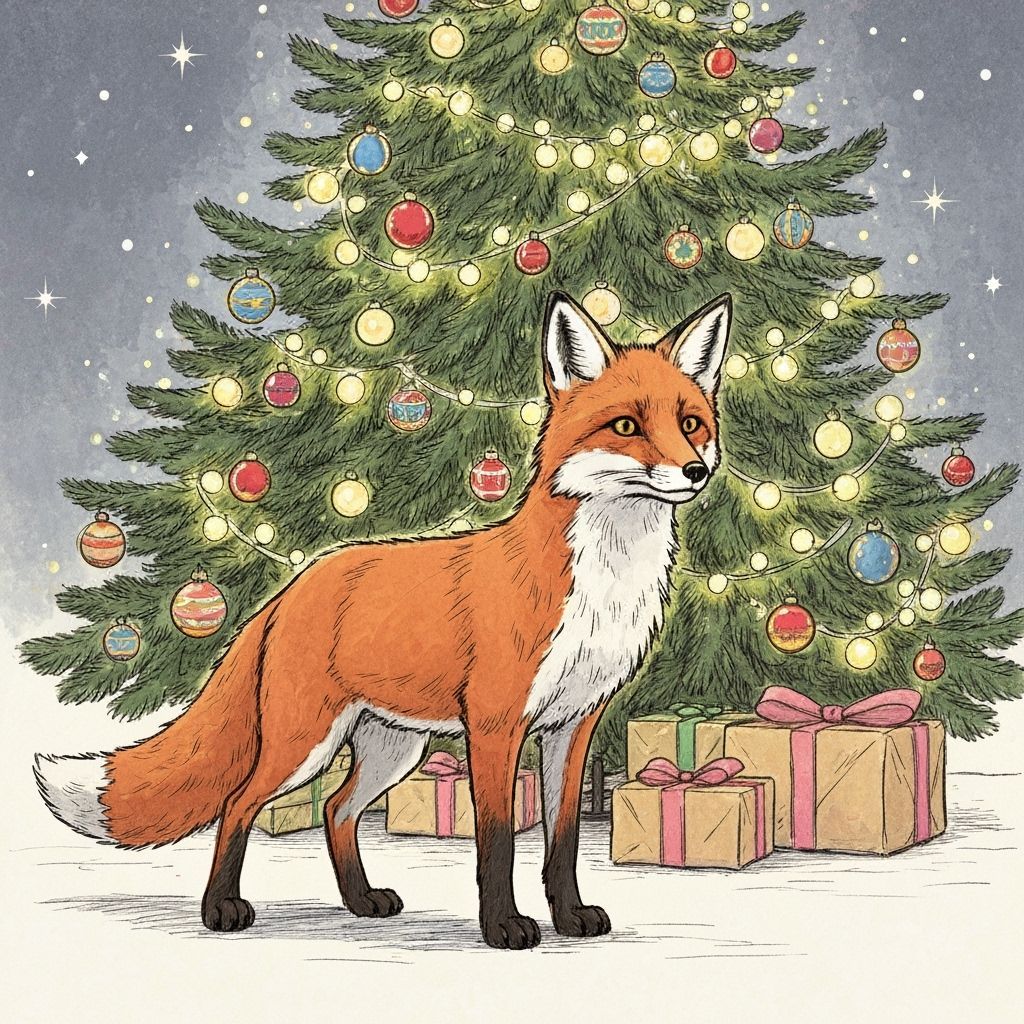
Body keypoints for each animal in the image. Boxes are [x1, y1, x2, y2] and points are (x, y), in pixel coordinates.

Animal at [35, 290, 731, 950]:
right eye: (626, 425)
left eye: (690, 423)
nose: (696, 471)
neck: (603, 586)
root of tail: (293, 587)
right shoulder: (496, 724)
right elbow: (498, 840)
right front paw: (504, 928)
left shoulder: (574, 724)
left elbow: (562, 841)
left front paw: (568, 917)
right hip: (304, 743)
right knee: (239, 804)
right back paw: (221, 910)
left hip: (393, 747)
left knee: (337, 810)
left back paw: (360, 902)